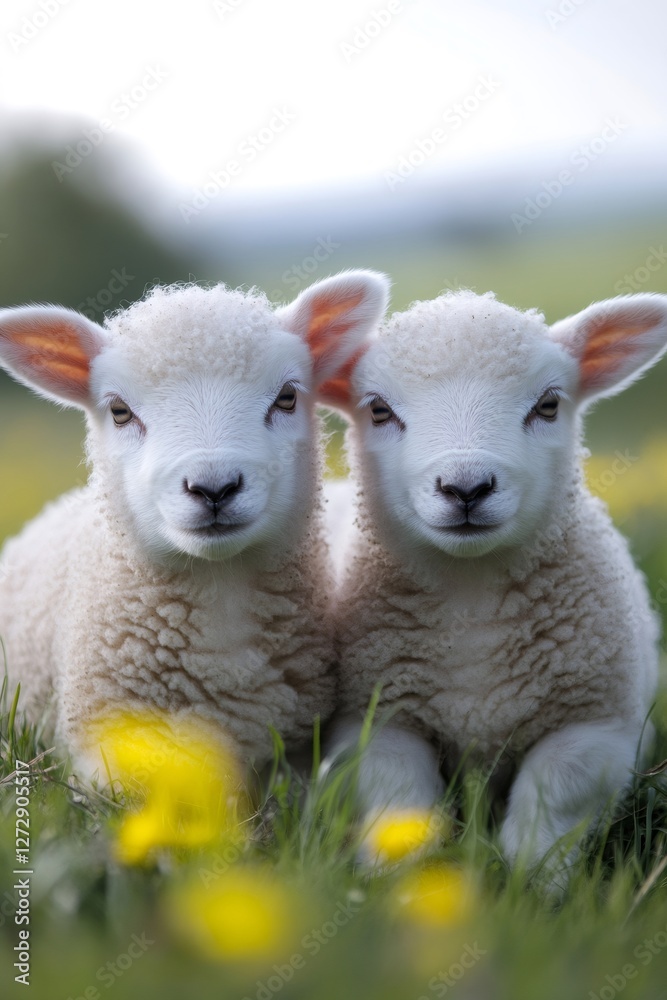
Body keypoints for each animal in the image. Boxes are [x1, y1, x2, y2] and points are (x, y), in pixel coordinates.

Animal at [324, 289, 667, 878]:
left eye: (548, 405)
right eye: (378, 409)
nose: (466, 487)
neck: (471, 601)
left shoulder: (596, 727)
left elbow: (554, 801)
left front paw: (533, 882)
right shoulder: (376, 724)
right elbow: (399, 802)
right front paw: (398, 878)